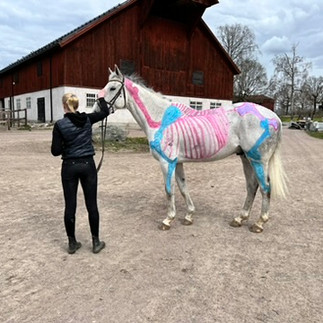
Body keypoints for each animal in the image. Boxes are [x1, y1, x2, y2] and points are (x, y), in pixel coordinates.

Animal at [97, 66, 288, 233]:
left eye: (112, 88)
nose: (97, 109)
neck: (161, 118)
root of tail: (275, 117)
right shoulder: (177, 162)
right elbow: (183, 188)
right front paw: (188, 216)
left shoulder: (167, 162)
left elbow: (169, 190)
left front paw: (168, 220)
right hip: (246, 158)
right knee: (251, 186)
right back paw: (240, 219)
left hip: (258, 160)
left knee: (265, 188)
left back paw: (259, 223)